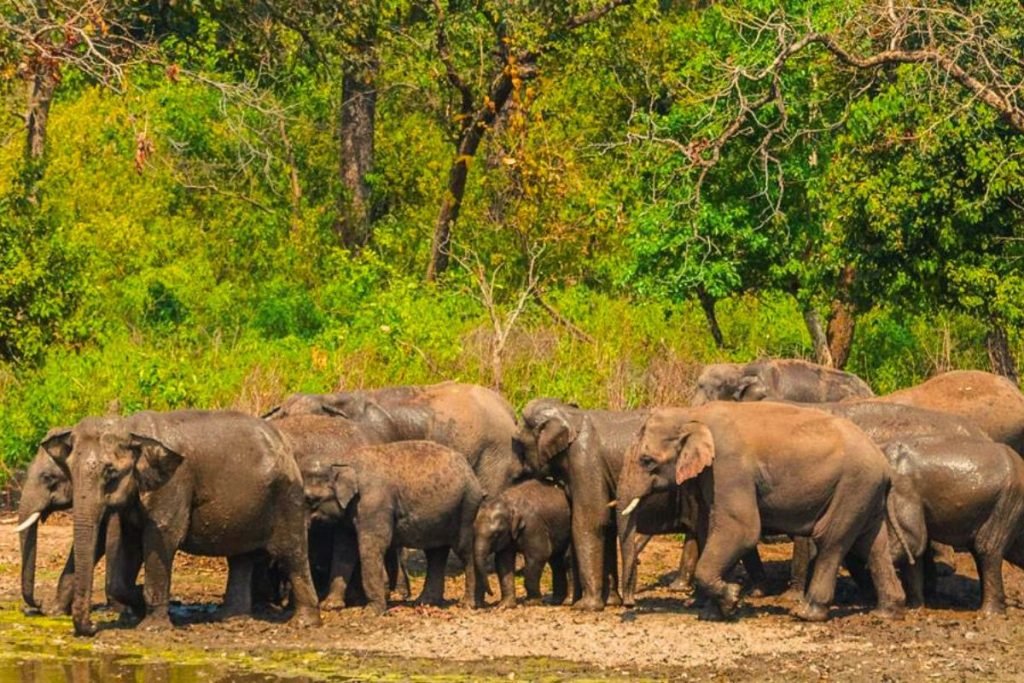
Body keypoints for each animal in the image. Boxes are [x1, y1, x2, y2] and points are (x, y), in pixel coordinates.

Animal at [42, 410, 321, 636]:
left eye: (110, 472)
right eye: (69, 471)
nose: (90, 628)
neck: (132, 429)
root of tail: (283, 442)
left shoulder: (172, 486)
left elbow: (162, 539)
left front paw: (151, 626)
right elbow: (127, 551)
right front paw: (139, 602)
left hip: (287, 497)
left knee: (292, 552)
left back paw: (303, 622)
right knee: (240, 558)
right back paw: (229, 617)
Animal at [303, 440, 486, 615]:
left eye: (311, 499)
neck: (344, 459)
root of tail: (470, 471)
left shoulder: (374, 503)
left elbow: (372, 546)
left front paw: (371, 611)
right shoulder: (349, 511)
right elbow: (344, 550)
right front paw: (330, 606)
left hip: (466, 507)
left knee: (463, 550)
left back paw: (467, 604)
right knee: (436, 553)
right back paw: (424, 602)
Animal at [473, 479, 573, 607]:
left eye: (496, 534)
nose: (491, 594)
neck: (509, 502)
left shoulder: (533, 525)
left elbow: (540, 554)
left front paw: (531, 602)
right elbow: (503, 561)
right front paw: (504, 606)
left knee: (567, 559)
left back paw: (568, 600)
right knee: (556, 562)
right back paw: (554, 601)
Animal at [617, 402, 907, 622]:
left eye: (647, 461)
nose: (629, 605)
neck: (692, 413)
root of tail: (884, 464)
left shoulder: (729, 467)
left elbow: (741, 529)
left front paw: (732, 598)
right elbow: (712, 528)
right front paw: (716, 612)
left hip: (853, 486)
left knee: (831, 541)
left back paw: (807, 614)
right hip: (865, 492)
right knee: (874, 545)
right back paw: (886, 612)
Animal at [884, 435, 1024, 614]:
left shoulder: (902, 489)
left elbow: (911, 541)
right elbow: (915, 549)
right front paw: (914, 608)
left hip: (1008, 501)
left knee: (986, 548)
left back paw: (988, 613)